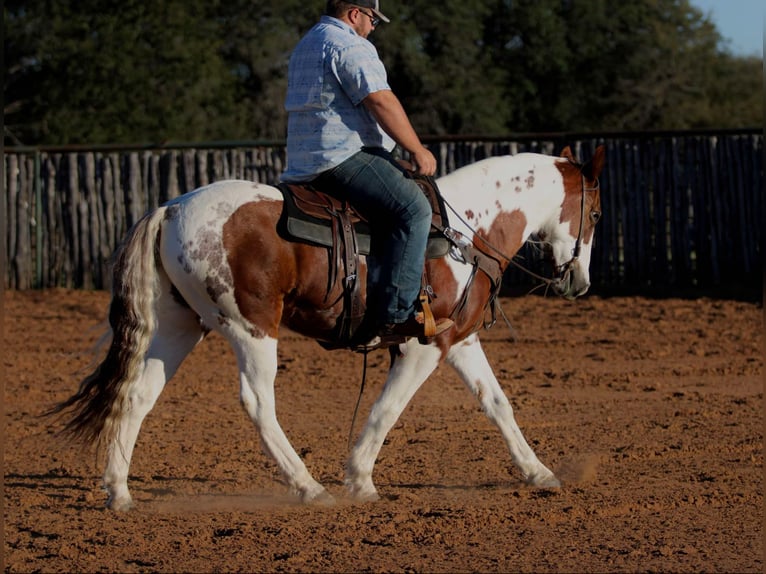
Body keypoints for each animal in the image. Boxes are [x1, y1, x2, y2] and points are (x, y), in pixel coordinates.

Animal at [50, 145, 605, 510]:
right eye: (596, 213)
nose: (580, 281)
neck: (466, 229)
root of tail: (170, 208)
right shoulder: (423, 346)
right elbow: (387, 409)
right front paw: (359, 480)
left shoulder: (460, 339)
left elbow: (497, 403)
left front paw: (538, 472)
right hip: (251, 327)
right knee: (257, 403)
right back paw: (308, 487)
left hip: (179, 325)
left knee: (137, 394)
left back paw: (119, 492)